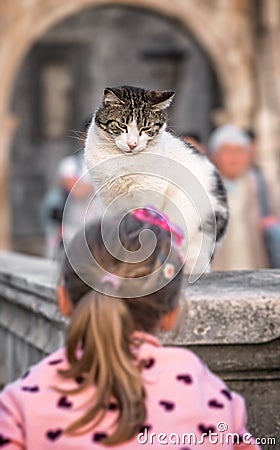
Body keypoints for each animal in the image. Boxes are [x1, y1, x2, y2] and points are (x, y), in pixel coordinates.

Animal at [83, 85, 228, 278]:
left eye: (145, 128)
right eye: (122, 125)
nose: (132, 144)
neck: (122, 160)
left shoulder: (148, 198)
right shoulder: (108, 199)